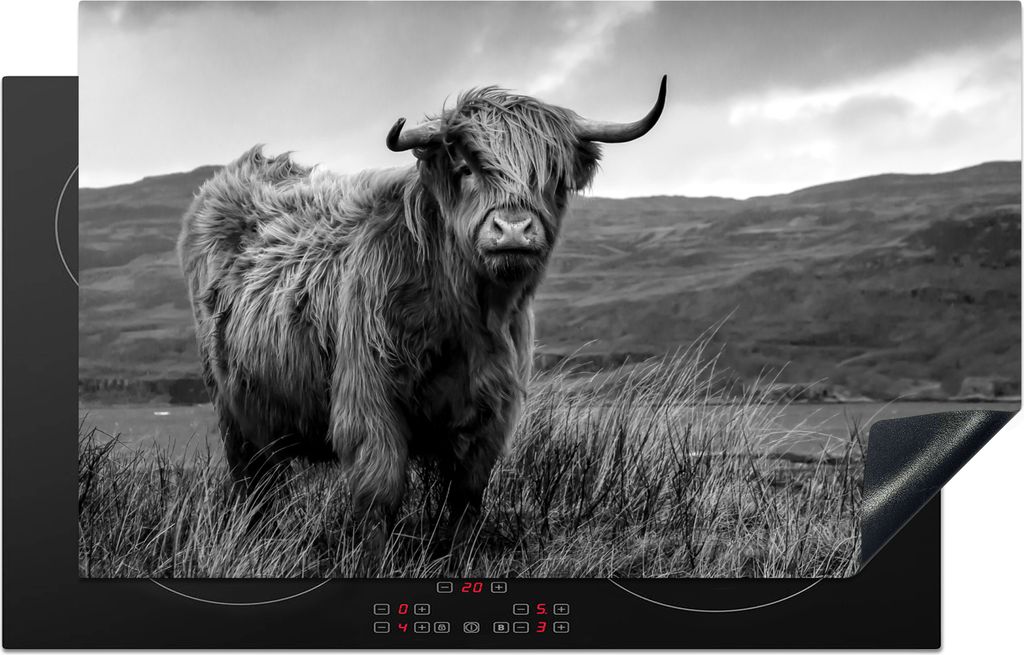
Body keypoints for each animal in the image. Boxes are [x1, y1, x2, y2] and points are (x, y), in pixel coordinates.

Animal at [177, 77, 667, 539]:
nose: (512, 230)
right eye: (466, 168)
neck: (467, 317)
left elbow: (466, 503)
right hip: (233, 412)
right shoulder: (368, 403)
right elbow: (378, 500)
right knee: (253, 484)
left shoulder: (490, 416)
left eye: (552, 176)